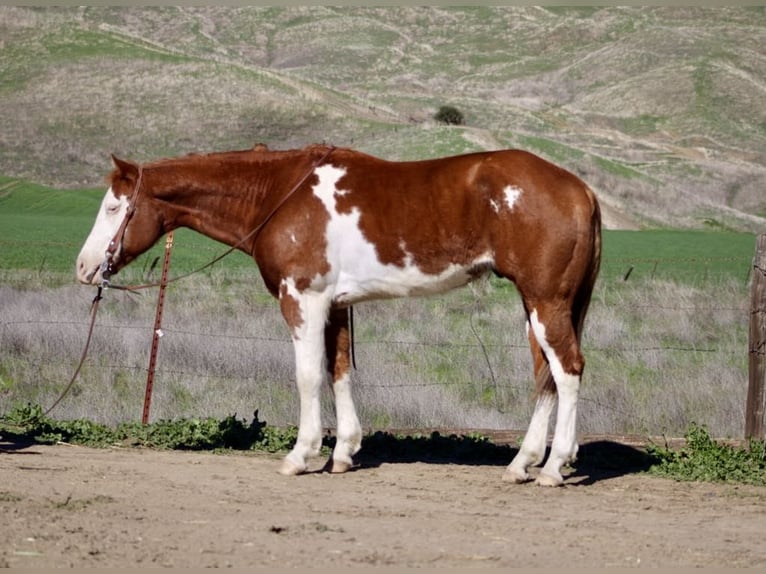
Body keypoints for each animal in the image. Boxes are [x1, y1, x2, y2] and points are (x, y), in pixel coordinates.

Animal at [76, 143, 601, 486]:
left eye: (113, 207)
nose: (83, 268)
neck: (279, 194)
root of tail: (581, 190)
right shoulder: (336, 306)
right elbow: (340, 372)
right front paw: (344, 453)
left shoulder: (303, 299)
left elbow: (309, 376)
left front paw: (301, 454)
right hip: (536, 306)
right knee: (546, 377)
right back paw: (523, 464)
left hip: (546, 301)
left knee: (568, 371)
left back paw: (553, 468)